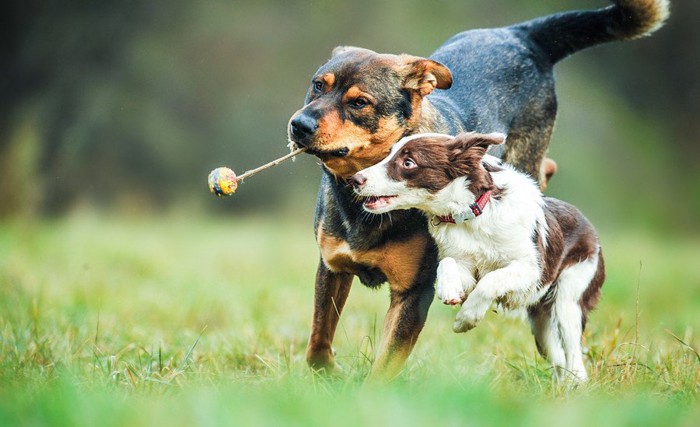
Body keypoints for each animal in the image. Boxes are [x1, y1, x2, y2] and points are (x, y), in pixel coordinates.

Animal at [350, 133, 608, 382]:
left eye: (408, 162)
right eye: (388, 153)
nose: (355, 179)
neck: (472, 214)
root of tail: (591, 229)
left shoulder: (532, 269)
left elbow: (489, 282)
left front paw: (466, 319)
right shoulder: (464, 262)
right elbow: (448, 263)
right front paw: (449, 289)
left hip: (569, 299)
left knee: (574, 356)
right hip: (542, 324)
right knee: (558, 359)